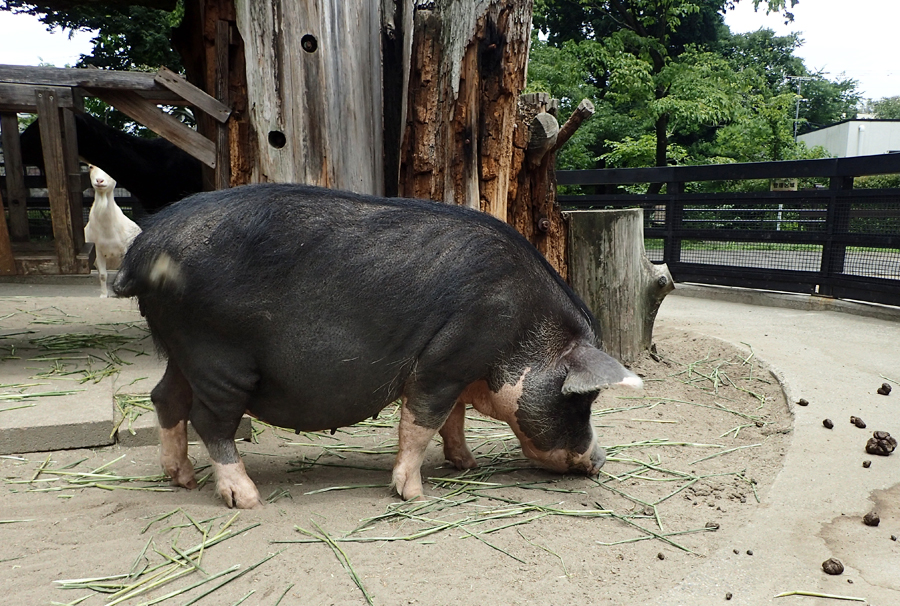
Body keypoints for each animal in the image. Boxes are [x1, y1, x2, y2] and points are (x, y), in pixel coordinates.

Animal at [84, 165, 141, 298]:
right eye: (90, 167)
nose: (99, 180)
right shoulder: (97, 251)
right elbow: (103, 275)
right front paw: (104, 295)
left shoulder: (125, 251)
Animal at [116, 184, 640, 508]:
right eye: (583, 401)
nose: (601, 461)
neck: (521, 331)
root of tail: (142, 250)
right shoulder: (445, 361)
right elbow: (422, 422)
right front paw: (415, 495)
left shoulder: (456, 372)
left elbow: (453, 419)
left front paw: (466, 464)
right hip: (217, 356)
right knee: (208, 420)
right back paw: (246, 499)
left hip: (181, 350)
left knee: (164, 397)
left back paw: (181, 480)